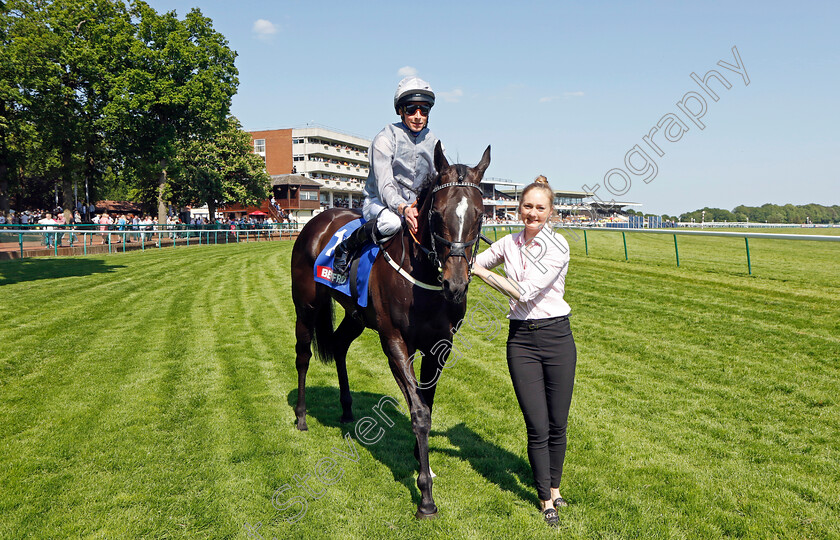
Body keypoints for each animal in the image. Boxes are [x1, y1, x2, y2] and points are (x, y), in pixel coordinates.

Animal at [288, 143, 488, 520]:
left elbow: (426, 403)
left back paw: (347, 410)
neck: (423, 280)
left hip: (355, 315)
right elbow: (419, 412)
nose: (455, 284)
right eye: (436, 214)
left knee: (339, 345)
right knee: (303, 355)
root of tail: (318, 220)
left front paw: (421, 460)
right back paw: (302, 417)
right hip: (306, 307)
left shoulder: (440, 346)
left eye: (480, 214)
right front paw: (425, 496)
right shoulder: (395, 341)